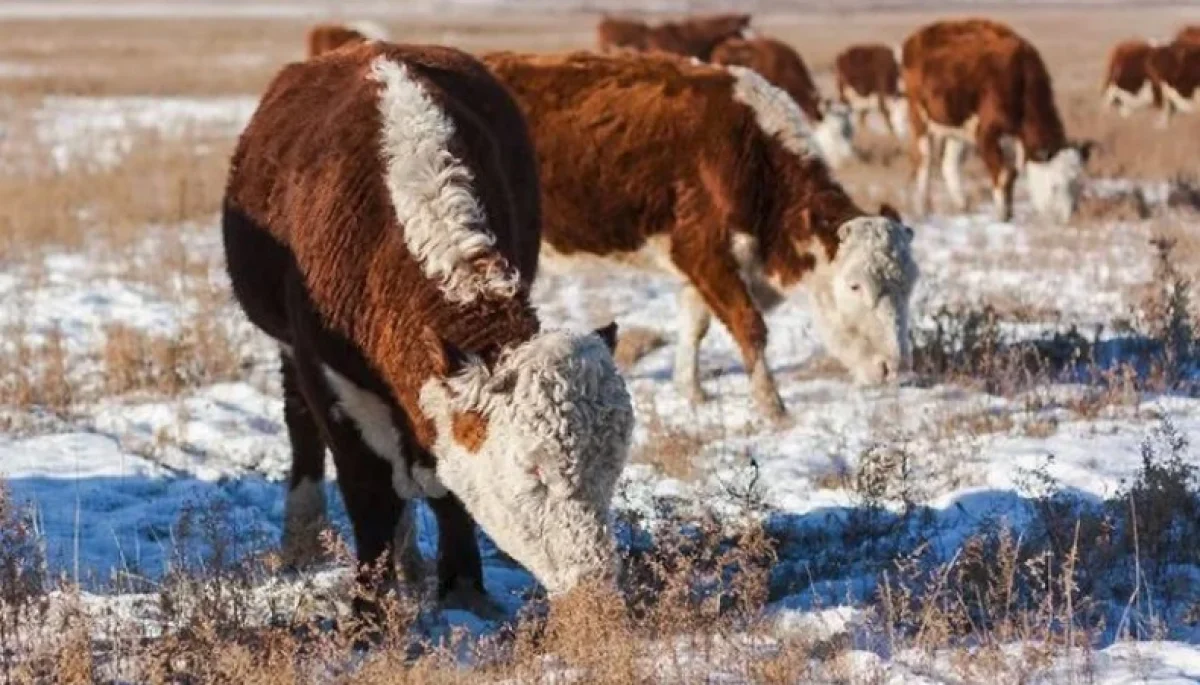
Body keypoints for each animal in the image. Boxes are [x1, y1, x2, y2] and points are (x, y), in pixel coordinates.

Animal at [225, 41, 638, 623]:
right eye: (534, 472)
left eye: (614, 469)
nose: (597, 588)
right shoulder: (330, 377)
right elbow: (369, 494)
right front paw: (368, 614)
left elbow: (447, 488)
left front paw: (463, 588)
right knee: (300, 426)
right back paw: (303, 541)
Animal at [480, 52, 916, 417]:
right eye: (855, 285)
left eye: (910, 286)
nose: (894, 367)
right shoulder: (704, 254)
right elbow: (749, 325)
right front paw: (771, 405)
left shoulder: (701, 268)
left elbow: (695, 326)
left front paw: (691, 391)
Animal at [902, 19, 1099, 221]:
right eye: (1055, 185)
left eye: (1077, 184)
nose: (1067, 217)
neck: (1021, 77)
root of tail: (919, 35)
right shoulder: (986, 132)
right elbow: (1004, 173)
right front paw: (1003, 215)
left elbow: (1013, 173)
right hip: (918, 116)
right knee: (924, 161)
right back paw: (922, 208)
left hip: (956, 127)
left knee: (949, 164)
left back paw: (962, 207)